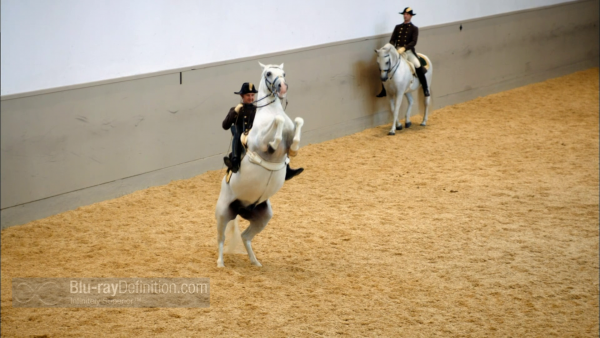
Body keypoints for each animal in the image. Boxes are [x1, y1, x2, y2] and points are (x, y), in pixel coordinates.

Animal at [214, 61, 304, 266]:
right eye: (269, 73)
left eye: (283, 73)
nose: (282, 87)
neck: (270, 111)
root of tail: (241, 209)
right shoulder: (259, 142)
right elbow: (277, 123)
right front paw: (274, 142)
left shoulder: (292, 131)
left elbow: (297, 123)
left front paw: (293, 149)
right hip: (222, 213)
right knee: (221, 238)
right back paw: (221, 264)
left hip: (263, 216)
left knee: (245, 237)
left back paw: (255, 262)